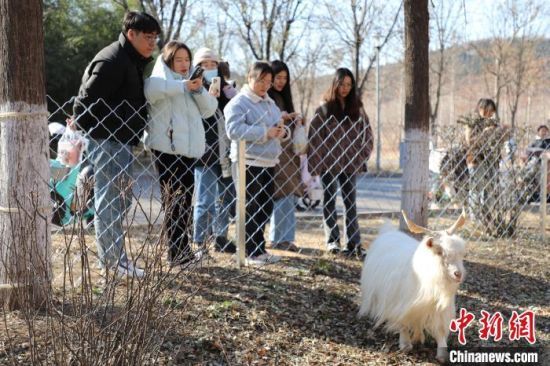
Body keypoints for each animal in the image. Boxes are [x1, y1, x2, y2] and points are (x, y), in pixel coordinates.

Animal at [360, 210, 468, 362]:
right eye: (440, 252)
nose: (458, 274)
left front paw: (441, 354)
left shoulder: (439, 308)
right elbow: (403, 322)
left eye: (461, 254)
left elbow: (440, 329)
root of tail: (388, 231)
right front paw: (405, 344)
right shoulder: (401, 303)